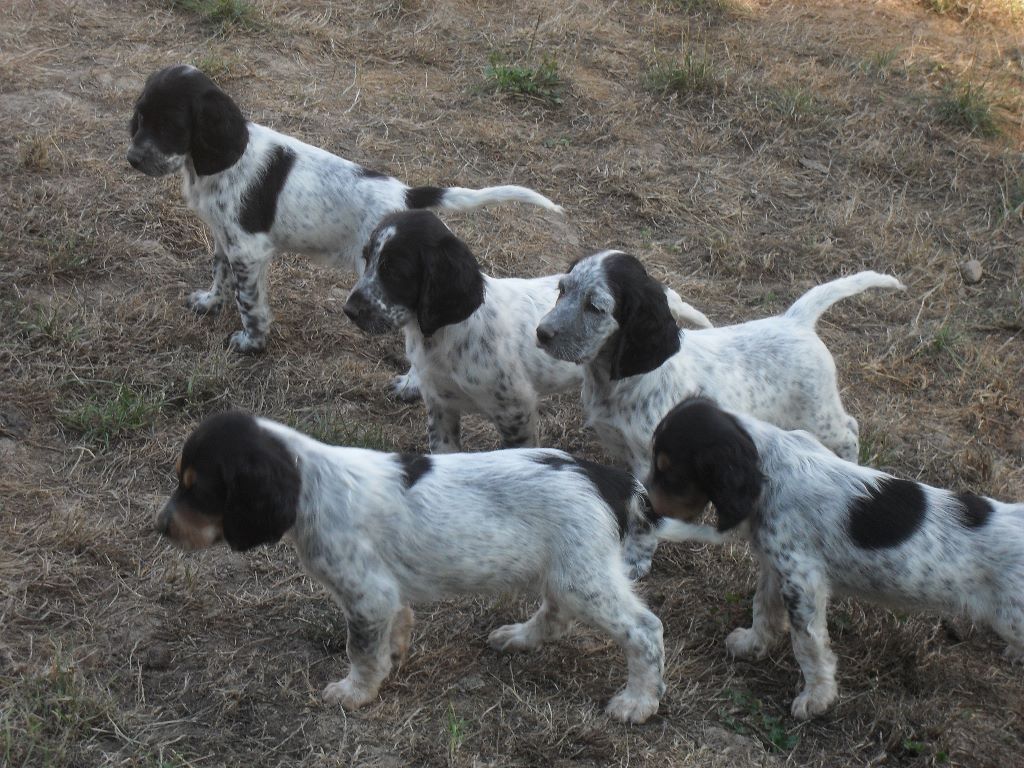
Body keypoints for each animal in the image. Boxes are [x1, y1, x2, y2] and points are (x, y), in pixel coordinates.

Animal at [125, 64, 569, 360]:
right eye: (140, 117)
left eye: (170, 126)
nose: (132, 158)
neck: (212, 165)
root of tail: (408, 195)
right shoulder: (225, 239)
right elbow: (219, 275)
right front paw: (209, 302)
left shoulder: (249, 253)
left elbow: (249, 305)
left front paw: (251, 342)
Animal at [151, 411, 663, 724]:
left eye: (198, 488)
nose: (160, 527)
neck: (312, 485)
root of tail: (606, 477)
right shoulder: (383, 596)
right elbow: (393, 628)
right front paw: (392, 658)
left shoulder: (365, 593)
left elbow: (360, 651)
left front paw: (354, 692)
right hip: (564, 569)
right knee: (556, 615)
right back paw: (519, 637)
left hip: (583, 577)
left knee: (644, 629)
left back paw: (638, 701)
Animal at [344, 210, 712, 450]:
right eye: (367, 259)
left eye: (395, 271)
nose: (349, 310)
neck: (444, 336)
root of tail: (661, 290)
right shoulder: (441, 407)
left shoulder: (516, 411)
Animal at [536, 252, 905, 577]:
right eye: (562, 290)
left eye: (595, 307)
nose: (541, 333)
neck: (619, 381)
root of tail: (794, 321)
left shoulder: (650, 463)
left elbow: (646, 518)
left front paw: (635, 561)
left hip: (818, 413)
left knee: (849, 430)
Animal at [647, 397, 1024, 720]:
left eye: (669, 472)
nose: (646, 509)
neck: (770, 465)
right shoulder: (777, 567)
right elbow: (763, 608)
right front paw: (753, 644)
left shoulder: (803, 580)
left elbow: (808, 643)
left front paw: (816, 698)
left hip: (1012, 617)